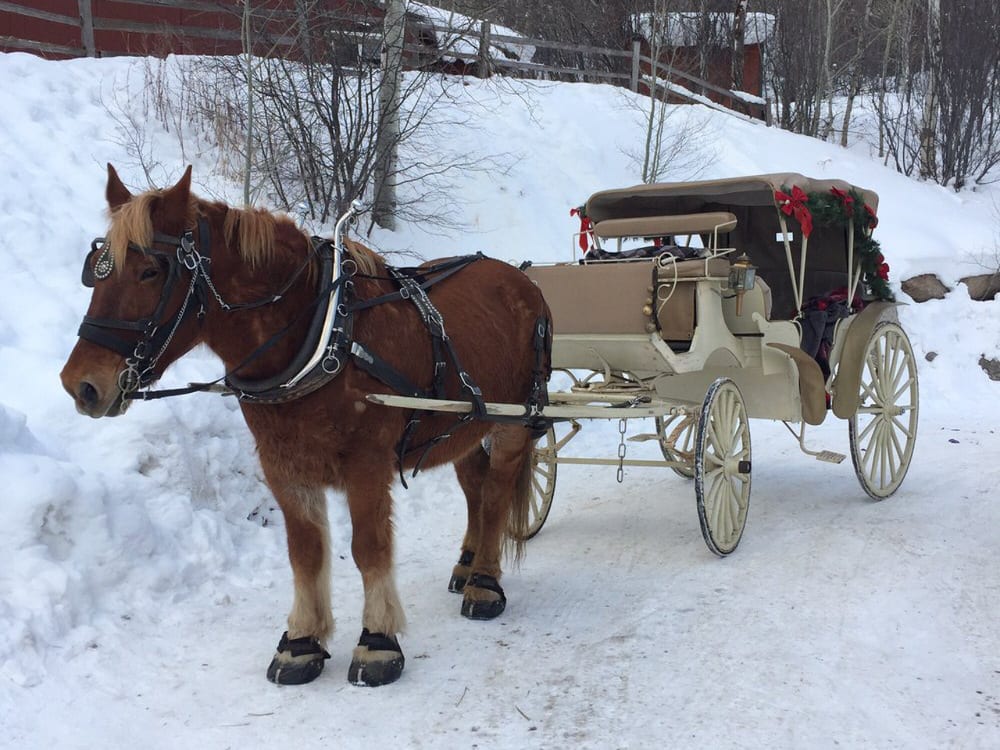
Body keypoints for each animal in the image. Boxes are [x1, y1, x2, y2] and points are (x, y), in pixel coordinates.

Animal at [60, 165, 552, 687]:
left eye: (151, 271)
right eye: (95, 271)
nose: (81, 385)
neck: (321, 334)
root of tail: (519, 278)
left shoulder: (367, 464)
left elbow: (369, 547)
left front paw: (377, 640)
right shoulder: (284, 466)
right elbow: (305, 551)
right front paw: (301, 641)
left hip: (511, 421)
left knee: (496, 493)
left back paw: (485, 582)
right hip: (462, 426)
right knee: (475, 485)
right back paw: (467, 564)